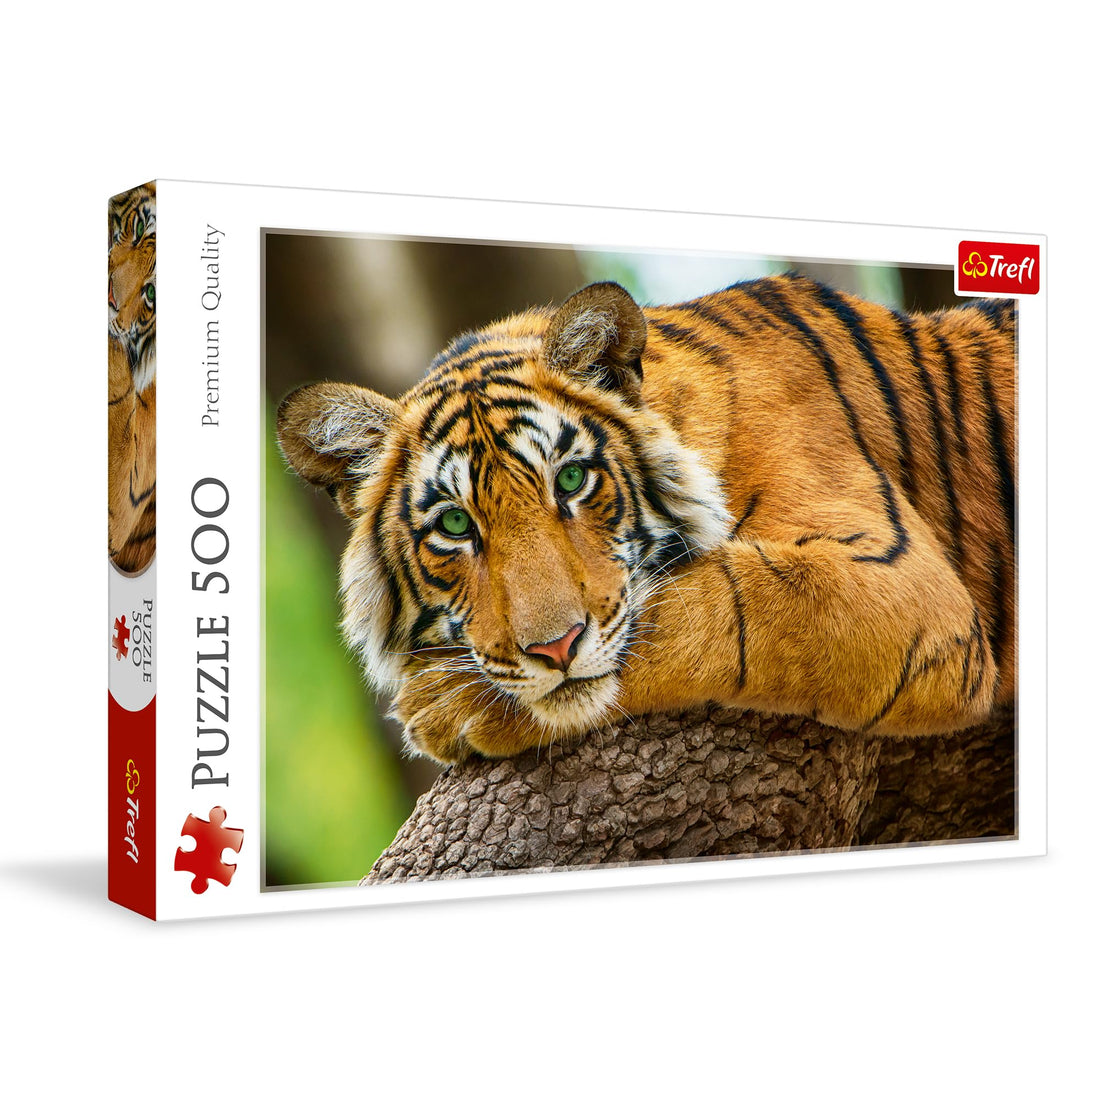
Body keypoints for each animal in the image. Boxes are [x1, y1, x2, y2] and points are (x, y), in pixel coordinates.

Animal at [277, 274, 1016, 764]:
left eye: (571, 480)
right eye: (456, 526)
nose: (555, 649)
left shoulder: (902, 584)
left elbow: (714, 605)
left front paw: (444, 705)